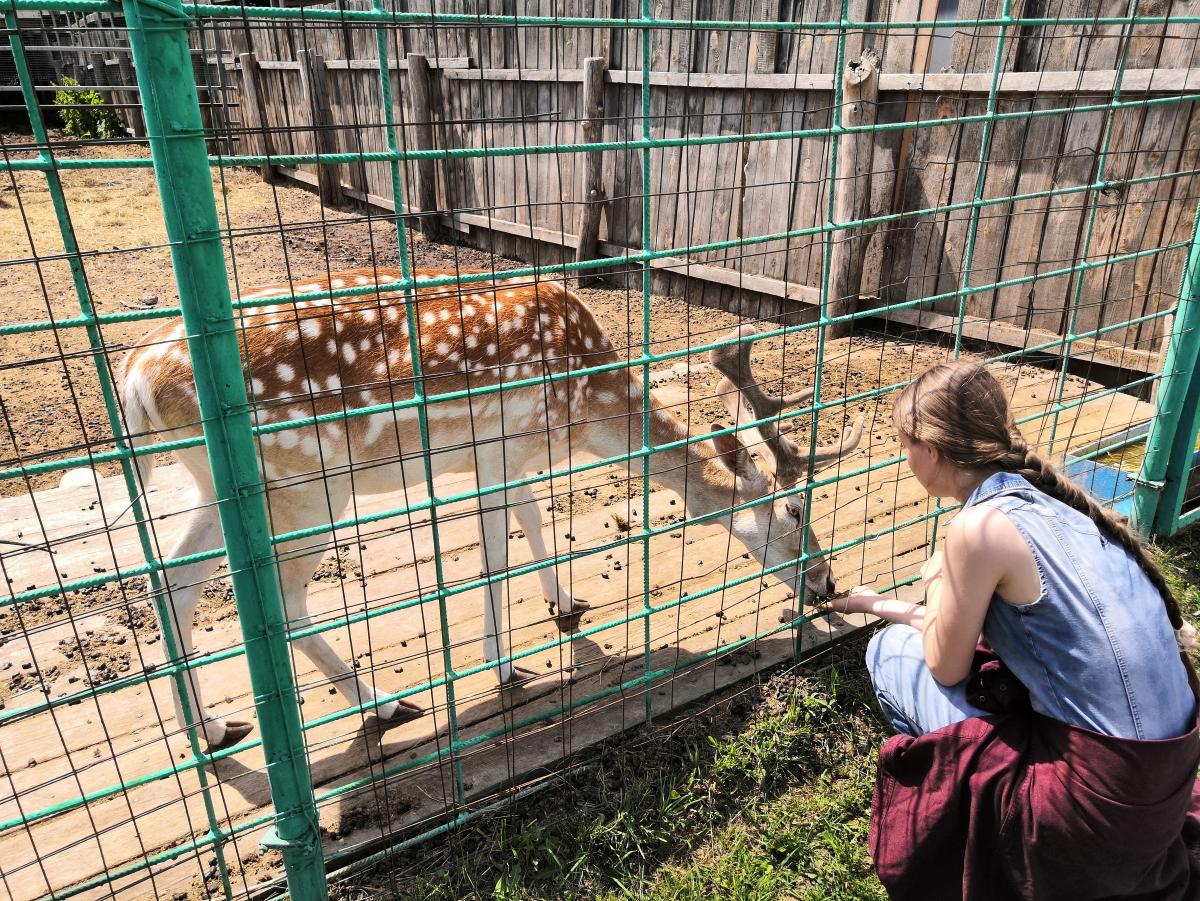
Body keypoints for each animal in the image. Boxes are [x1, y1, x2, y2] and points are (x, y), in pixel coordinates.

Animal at [121, 269, 864, 753]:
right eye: (796, 511)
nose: (828, 583)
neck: (587, 409)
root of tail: (134, 380)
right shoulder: (502, 444)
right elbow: (499, 551)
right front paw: (506, 665)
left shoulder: (511, 455)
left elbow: (534, 518)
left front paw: (567, 604)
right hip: (307, 485)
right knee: (279, 602)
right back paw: (385, 702)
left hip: (217, 485)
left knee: (170, 580)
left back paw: (213, 727)